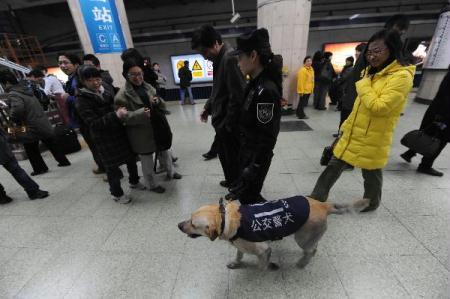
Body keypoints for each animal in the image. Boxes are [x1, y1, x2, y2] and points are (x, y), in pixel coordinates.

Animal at [178, 197, 368, 272]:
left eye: (193, 224)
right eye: (189, 218)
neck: (226, 219)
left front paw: (269, 267)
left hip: (302, 238)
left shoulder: (263, 249)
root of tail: (323, 204)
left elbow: (261, 266)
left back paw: (302, 263)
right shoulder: (240, 245)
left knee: (312, 251)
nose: (178, 225)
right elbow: (239, 255)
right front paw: (236, 263)